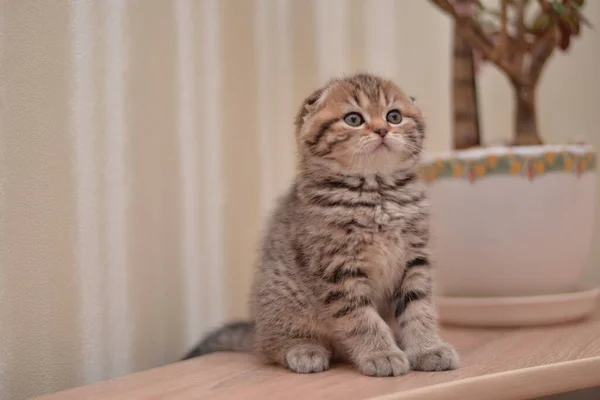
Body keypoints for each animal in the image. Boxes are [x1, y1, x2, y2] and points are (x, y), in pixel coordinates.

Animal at [183, 73, 460, 376]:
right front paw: (381, 353)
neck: (377, 195)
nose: (382, 130)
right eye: (354, 119)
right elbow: (361, 318)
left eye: (394, 116)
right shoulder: (336, 269)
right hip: (284, 298)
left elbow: (419, 309)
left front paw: (427, 349)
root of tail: (255, 328)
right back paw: (304, 349)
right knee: (270, 346)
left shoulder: (415, 260)